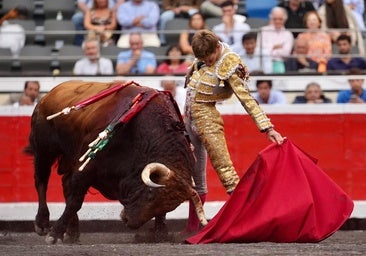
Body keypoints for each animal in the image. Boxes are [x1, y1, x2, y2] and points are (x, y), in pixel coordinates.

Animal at [26, 80, 206, 244]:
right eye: (150, 194)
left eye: (171, 206)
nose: (129, 222)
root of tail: (48, 95)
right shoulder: (87, 167)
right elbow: (75, 201)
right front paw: (54, 234)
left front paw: (159, 234)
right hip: (44, 149)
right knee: (41, 180)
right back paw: (42, 223)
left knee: (64, 182)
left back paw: (72, 233)